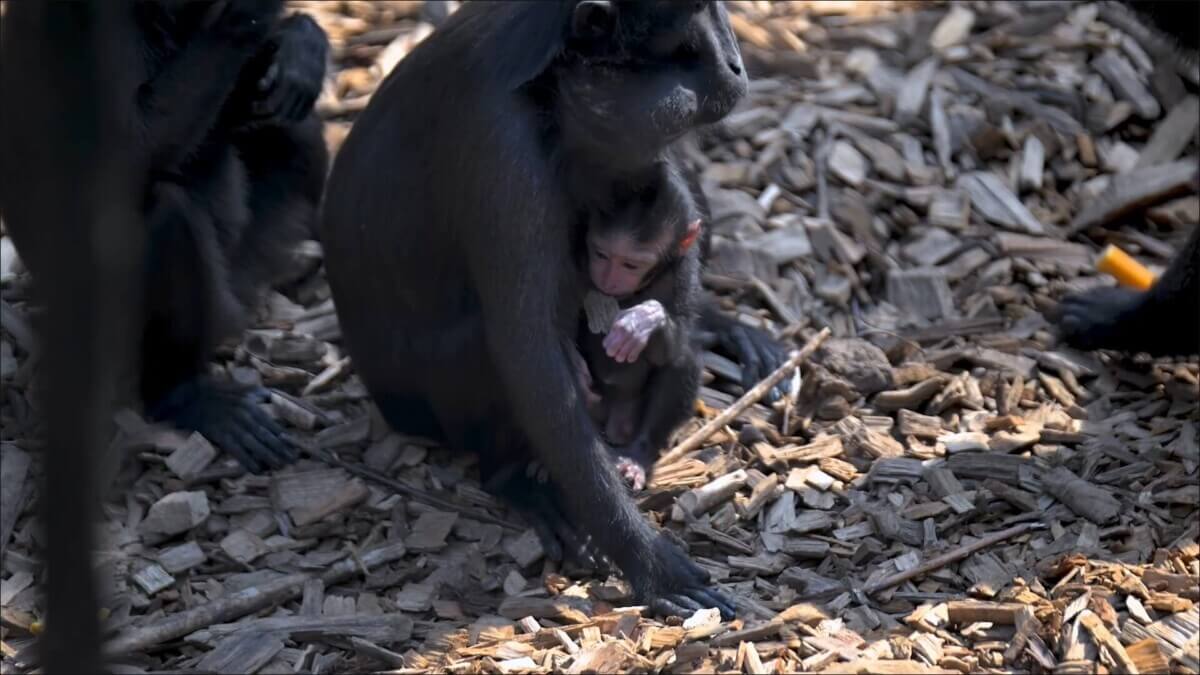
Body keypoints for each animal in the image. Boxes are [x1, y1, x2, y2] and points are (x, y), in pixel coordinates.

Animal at [1, 0, 331, 475]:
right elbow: (129, 147)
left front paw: (300, 42)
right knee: (164, 211)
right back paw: (180, 394)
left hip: (247, 255)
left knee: (295, 127)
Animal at [572, 161, 704, 491]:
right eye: (601, 254)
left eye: (631, 265)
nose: (608, 280)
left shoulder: (682, 272)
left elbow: (680, 337)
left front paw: (644, 321)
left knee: (682, 360)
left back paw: (637, 457)